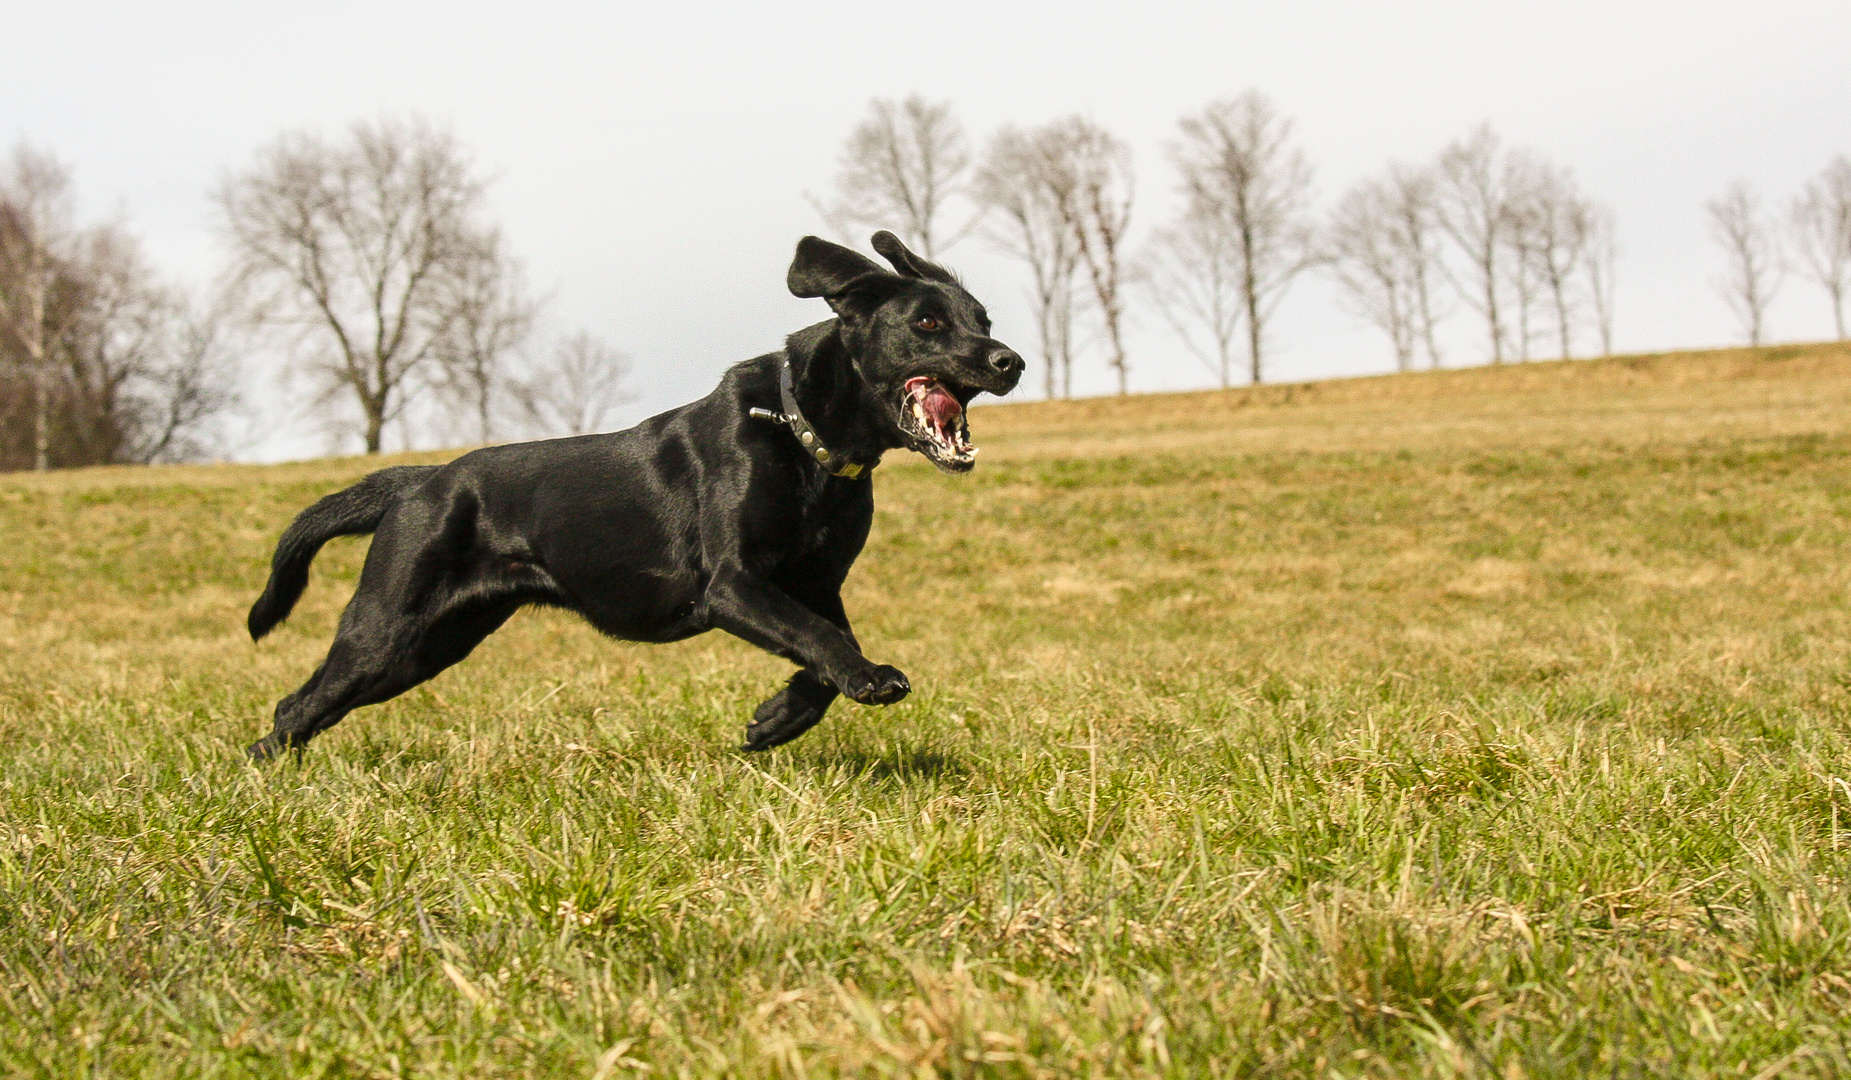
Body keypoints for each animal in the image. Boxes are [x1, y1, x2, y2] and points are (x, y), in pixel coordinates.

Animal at [242, 234, 1029, 759]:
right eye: (926, 323)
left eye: (985, 320)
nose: (1010, 361)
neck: (803, 438)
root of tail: (415, 481)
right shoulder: (733, 583)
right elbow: (820, 639)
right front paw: (865, 682)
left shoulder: (816, 583)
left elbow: (825, 653)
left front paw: (776, 719)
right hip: (385, 630)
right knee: (296, 704)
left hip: (433, 643)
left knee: (303, 707)